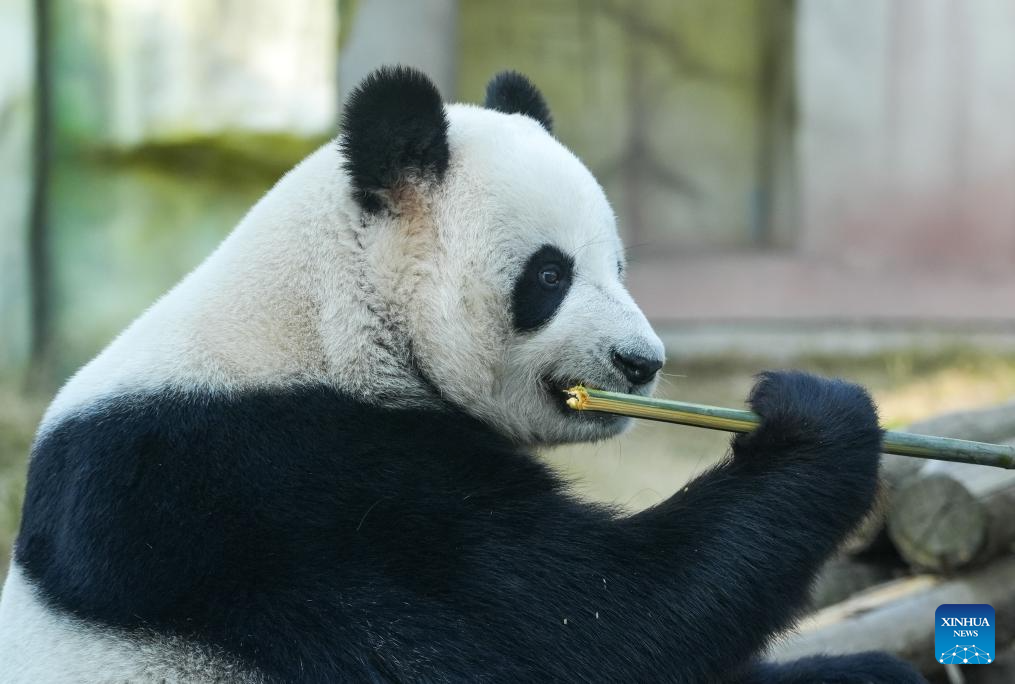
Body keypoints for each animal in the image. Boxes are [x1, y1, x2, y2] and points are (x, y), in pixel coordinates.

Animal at [0, 65, 925, 681]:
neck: (325, 318)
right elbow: (582, 626)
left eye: (619, 266)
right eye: (549, 275)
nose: (641, 363)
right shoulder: (274, 488)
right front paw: (813, 419)